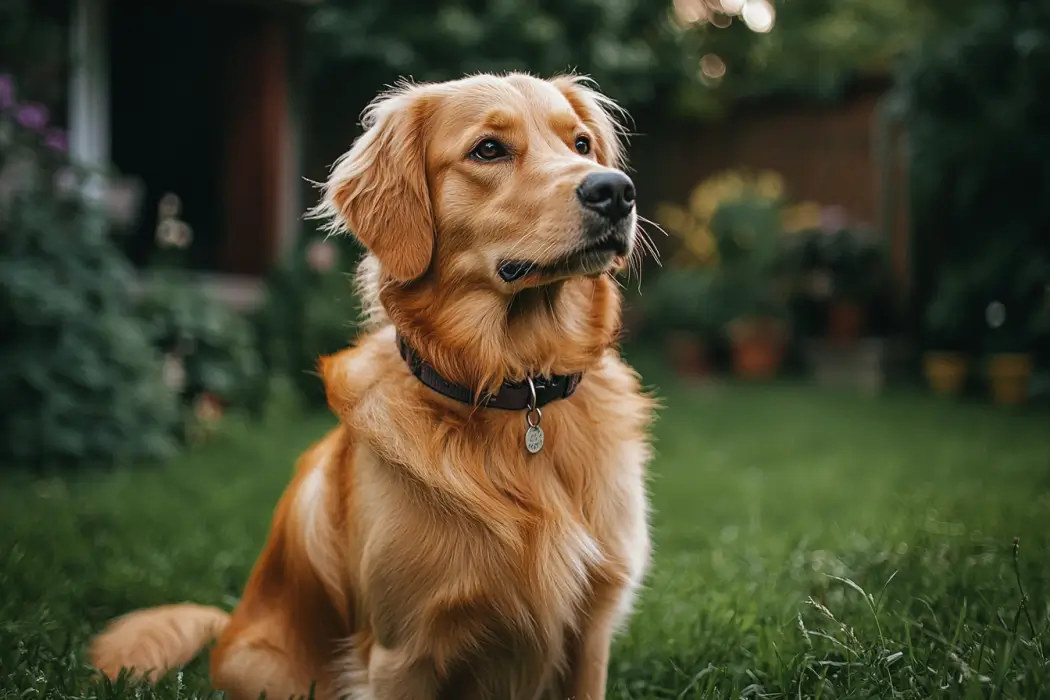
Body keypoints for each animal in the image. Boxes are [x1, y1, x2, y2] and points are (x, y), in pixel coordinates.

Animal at [94, 72, 659, 700]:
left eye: (581, 144)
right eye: (488, 149)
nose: (616, 191)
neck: (518, 390)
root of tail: (229, 623)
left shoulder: (591, 634)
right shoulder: (401, 653)